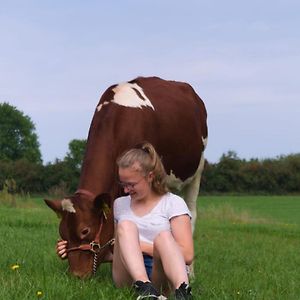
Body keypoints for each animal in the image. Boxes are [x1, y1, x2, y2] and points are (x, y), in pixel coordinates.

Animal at [45, 76, 207, 278]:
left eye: (85, 230)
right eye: (62, 233)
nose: (76, 275)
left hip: (196, 172)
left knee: (190, 215)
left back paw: (189, 272)